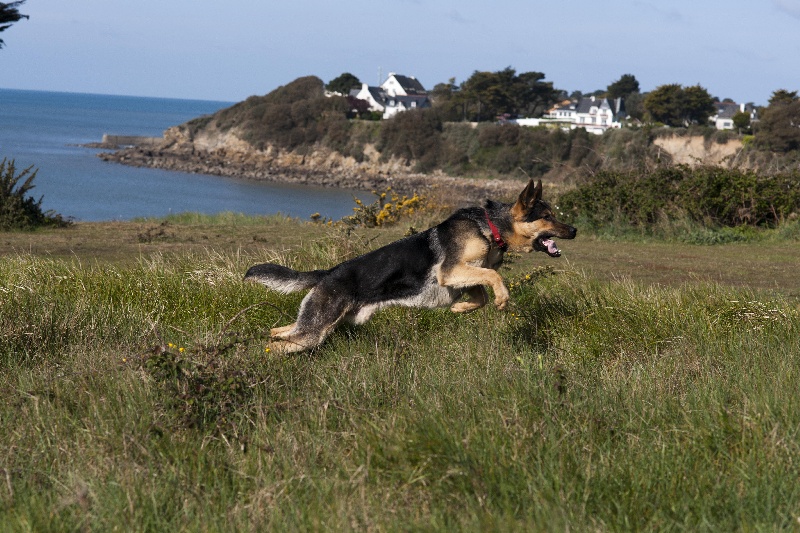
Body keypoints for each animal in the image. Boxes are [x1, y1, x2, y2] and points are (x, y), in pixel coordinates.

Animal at [245, 179, 576, 352]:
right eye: (547, 216)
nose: (574, 231)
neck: (490, 227)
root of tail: (328, 273)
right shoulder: (450, 272)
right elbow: (492, 276)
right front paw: (502, 298)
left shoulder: (462, 277)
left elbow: (480, 292)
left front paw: (461, 308)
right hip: (314, 331)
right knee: (278, 345)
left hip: (316, 325)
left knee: (277, 332)